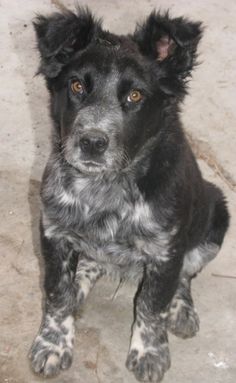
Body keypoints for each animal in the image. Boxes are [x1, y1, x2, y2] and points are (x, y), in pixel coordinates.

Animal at [28, 6, 230, 383]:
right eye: (76, 86)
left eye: (135, 96)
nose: (92, 142)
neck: (104, 187)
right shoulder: (53, 232)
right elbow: (57, 292)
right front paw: (53, 344)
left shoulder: (166, 251)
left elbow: (152, 305)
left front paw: (149, 352)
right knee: (91, 263)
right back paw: (81, 284)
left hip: (216, 212)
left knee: (186, 276)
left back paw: (182, 310)